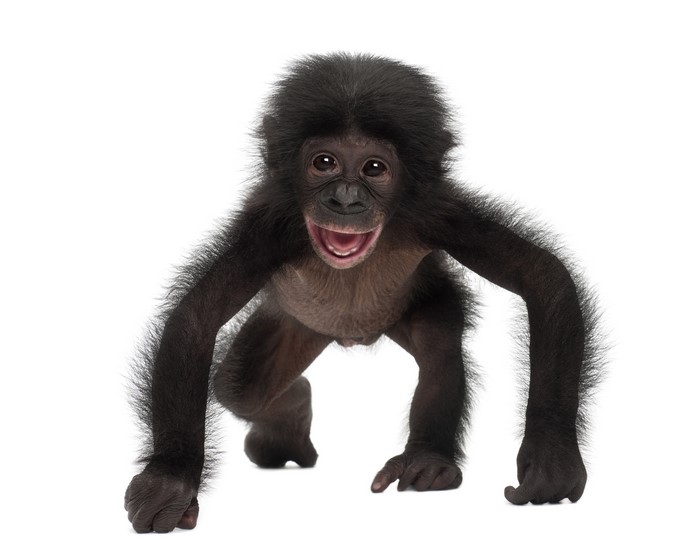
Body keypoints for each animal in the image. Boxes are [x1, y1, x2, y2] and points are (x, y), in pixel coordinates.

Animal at [125, 53, 602, 533]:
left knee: (438, 349)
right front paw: (171, 478)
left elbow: (539, 276)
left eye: (374, 168)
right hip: (294, 324)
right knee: (241, 387)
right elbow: (197, 319)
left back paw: (427, 460)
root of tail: (350, 337)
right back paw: (291, 416)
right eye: (324, 163)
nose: (346, 199)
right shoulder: (270, 230)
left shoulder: (440, 215)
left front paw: (551, 457)